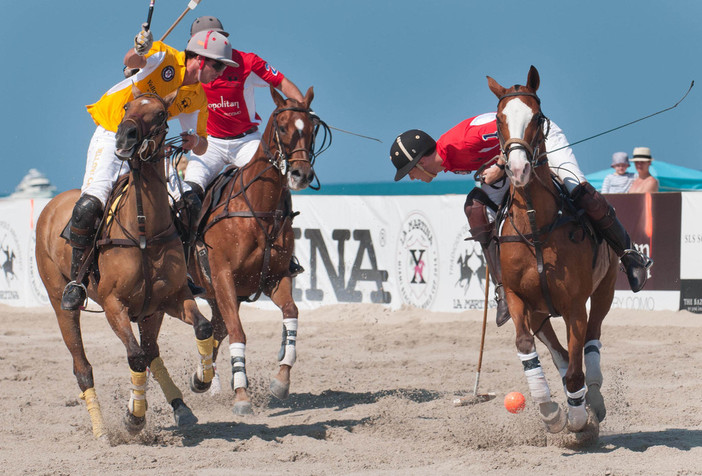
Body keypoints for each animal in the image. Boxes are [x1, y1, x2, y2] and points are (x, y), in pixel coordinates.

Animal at [35, 86, 214, 438]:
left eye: (160, 114)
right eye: (127, 107)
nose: (124, 136)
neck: (144, 228)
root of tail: (51, 204)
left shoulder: (170, 298)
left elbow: (202, 326)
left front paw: (201, 379)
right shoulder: (113, 304)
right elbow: (134, 356)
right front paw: (134, 418)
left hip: (149, 312)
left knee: (152, 351)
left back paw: (180, 408)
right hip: (59, 301)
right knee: (83, 366)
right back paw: (101, 431)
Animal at [191, 87, 326, 414]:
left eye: (312, 128)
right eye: (282, 127)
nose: (301, 174)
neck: (257, 209)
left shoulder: (275, 277)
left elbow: (291, 313)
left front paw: (281, 380)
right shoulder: (224, 277)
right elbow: (238, 333)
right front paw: (241, 395)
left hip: (215, 296)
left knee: (215, 330)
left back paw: (202, 377)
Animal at [490, 67, 616, 436]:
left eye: (537, 117)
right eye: (499, 120)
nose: (518, 169)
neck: (535, 226)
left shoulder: (575, 305)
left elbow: (576, 368)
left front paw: (577, 421)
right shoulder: (517, 297)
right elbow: (527, 347)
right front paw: (550, 411)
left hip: (605, 290)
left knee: (591, 341)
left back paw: (593, 400)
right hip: (538, 311)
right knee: (558, 352)